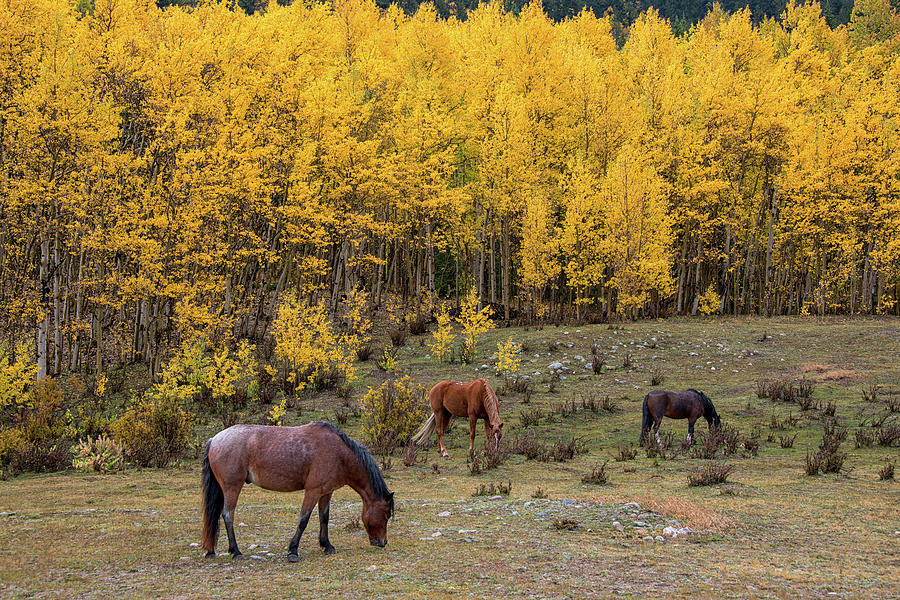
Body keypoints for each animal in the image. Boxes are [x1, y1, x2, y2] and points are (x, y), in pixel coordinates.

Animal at [204, 422, 394, 564]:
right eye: (386, 515)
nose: (383, 542)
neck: (339, 454)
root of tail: (215, 439)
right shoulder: (313, 491)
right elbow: (304, 520)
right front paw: (293, 551)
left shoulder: (326, 492)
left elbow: (324, 518)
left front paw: (327, 545)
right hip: (232, 487)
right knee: (228, 515)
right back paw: (235, 551)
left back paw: (211, 551)